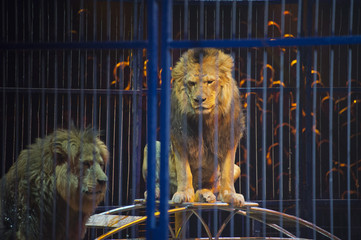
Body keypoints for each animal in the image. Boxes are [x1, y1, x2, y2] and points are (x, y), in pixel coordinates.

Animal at [143, 47, 245, 207]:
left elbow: (226, 174)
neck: (205, 120)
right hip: (150, 147)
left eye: (209, 82)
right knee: (159, 184)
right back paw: (155, 194)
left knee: (211, 188)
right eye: (191, 83)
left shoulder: (228, 139)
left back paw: (206, 195)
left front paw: (231, 196)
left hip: (237, 168)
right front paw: (184, 194)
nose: (199, 99)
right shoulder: (179, 139)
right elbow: (184, 172)